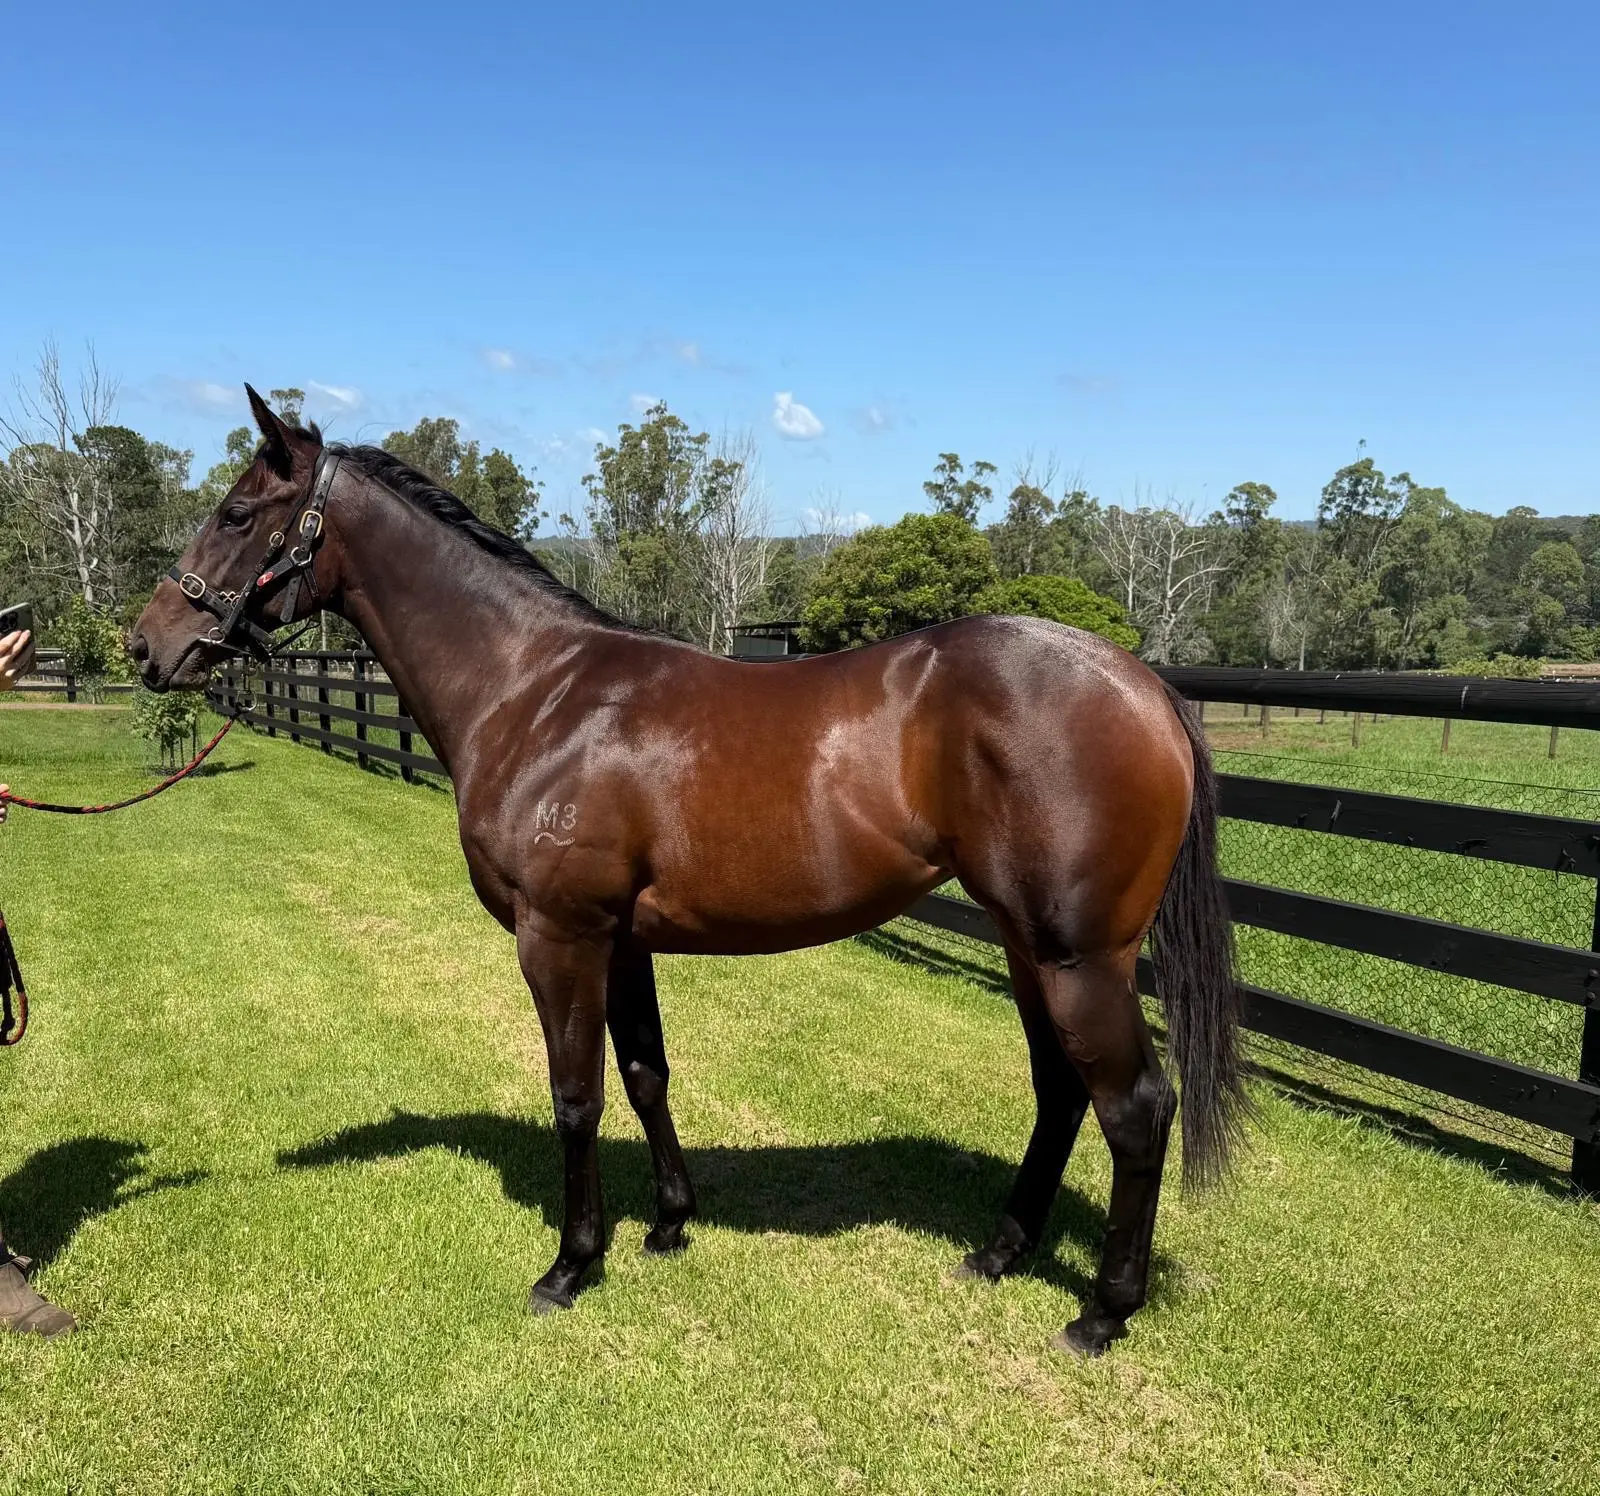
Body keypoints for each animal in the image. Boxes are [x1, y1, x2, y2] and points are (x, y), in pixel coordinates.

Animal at [132, 388, 1245, 1356]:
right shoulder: (622, 939)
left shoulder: (560, 934)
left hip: (1076, 956)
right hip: (1026, 945)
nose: (148, 646)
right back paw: (999, 1252)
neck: (535, 691)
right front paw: (669, 1223)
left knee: (1135, 1107)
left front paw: (572, 1264)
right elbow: (644, 1074)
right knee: (1061, 1092)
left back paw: (1102, 1311)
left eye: (237, 512)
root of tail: (1143, 684)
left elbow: (575, 1094)